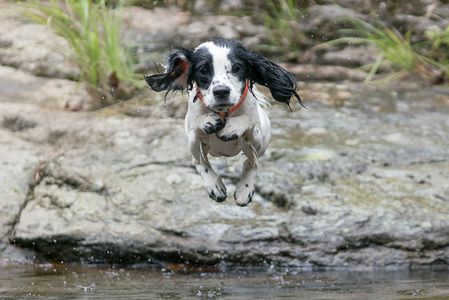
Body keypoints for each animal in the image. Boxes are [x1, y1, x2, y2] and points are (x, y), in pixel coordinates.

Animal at [145, 38, 302, 206]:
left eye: (236, 67)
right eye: (203, 70)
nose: (221, 91)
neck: (223, 111)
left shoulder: (257, 137)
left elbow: (248, 122)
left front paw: (232, 127)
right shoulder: (194, 125)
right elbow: (198, 123)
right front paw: (207, 121)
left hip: (263, 140)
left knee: (252, 163)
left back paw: (244, 190)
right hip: (193, 142)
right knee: (199, 161)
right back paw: (215, 186)